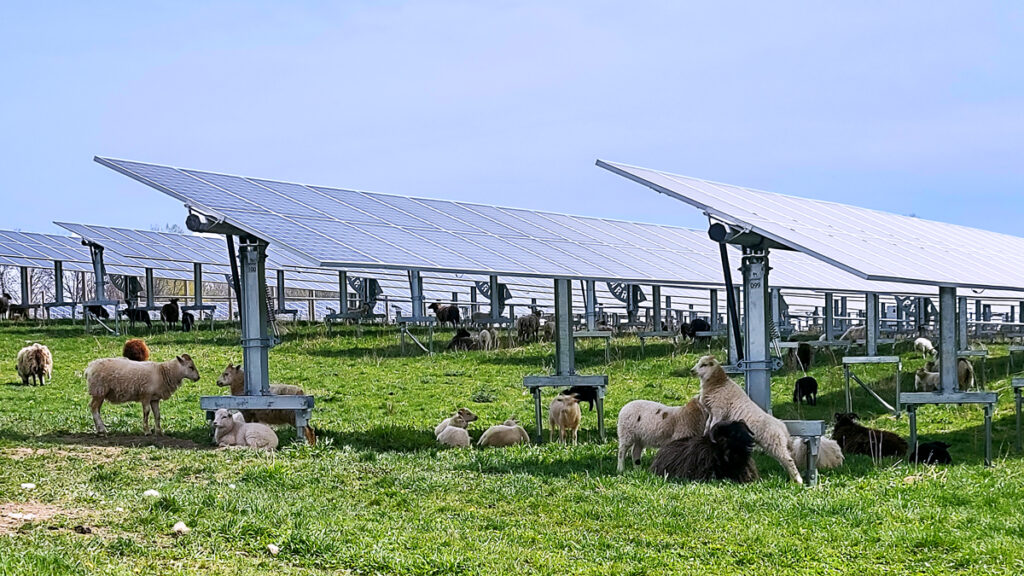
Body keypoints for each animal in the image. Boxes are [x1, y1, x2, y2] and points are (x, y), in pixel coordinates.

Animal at [696, 352, 806, 481]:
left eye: (704, 365)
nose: (692, 371)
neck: (719, 382)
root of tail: (783, 428)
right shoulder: (711, 412)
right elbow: (708, 424)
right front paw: (704, 434)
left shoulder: (719, 410)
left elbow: (713, 425)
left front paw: (710, 437)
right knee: (786, 459)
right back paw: (793, 479)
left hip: (776, 444)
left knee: (788, 460)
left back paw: (798, 480)